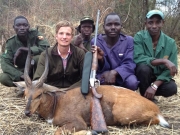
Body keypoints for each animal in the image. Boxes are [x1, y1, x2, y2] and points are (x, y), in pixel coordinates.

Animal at [14, 46, 170, 134]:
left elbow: (57, 132)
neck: (57, 103)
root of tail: (155, 108)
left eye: (39, 94)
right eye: (26, 93)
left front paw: (91, 132)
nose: (27, 112)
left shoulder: (78, 123)